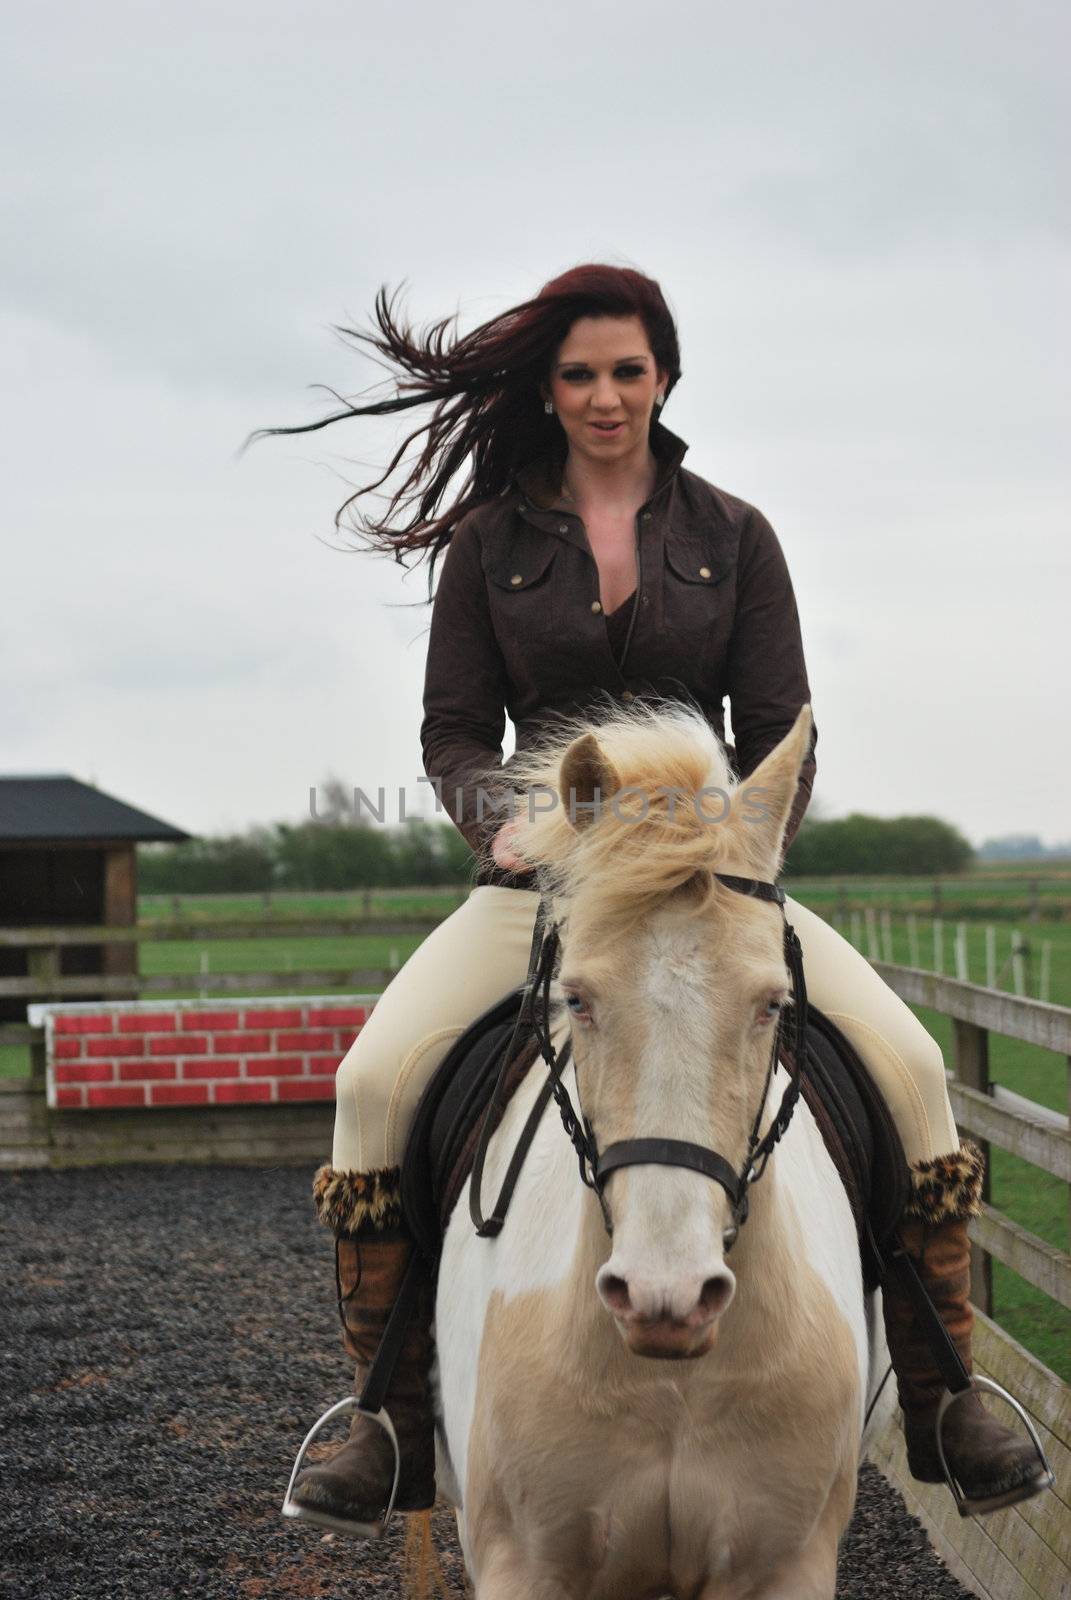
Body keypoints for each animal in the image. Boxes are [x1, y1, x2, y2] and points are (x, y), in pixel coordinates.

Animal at [429, 707, 890, 1593]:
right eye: (576, 998)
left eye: (771, 1003)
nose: (663, 1294)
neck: (674, 1380)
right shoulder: (522, 1565)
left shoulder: (783, 1567)